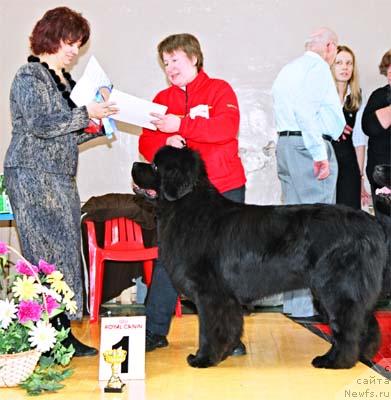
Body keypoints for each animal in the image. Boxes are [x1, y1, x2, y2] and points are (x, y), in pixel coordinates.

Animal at [133, 146, 390, 368]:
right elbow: (230, 324)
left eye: (155, 166)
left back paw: (334, 361)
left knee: (348, 325)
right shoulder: (227, 297)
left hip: (336, 287)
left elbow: (209, 329)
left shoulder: (210, 293)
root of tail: (371, 224)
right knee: (365, 321)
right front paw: (227, 351)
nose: (135, 164)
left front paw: (203, 358)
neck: (186, 206)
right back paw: (362, 356)